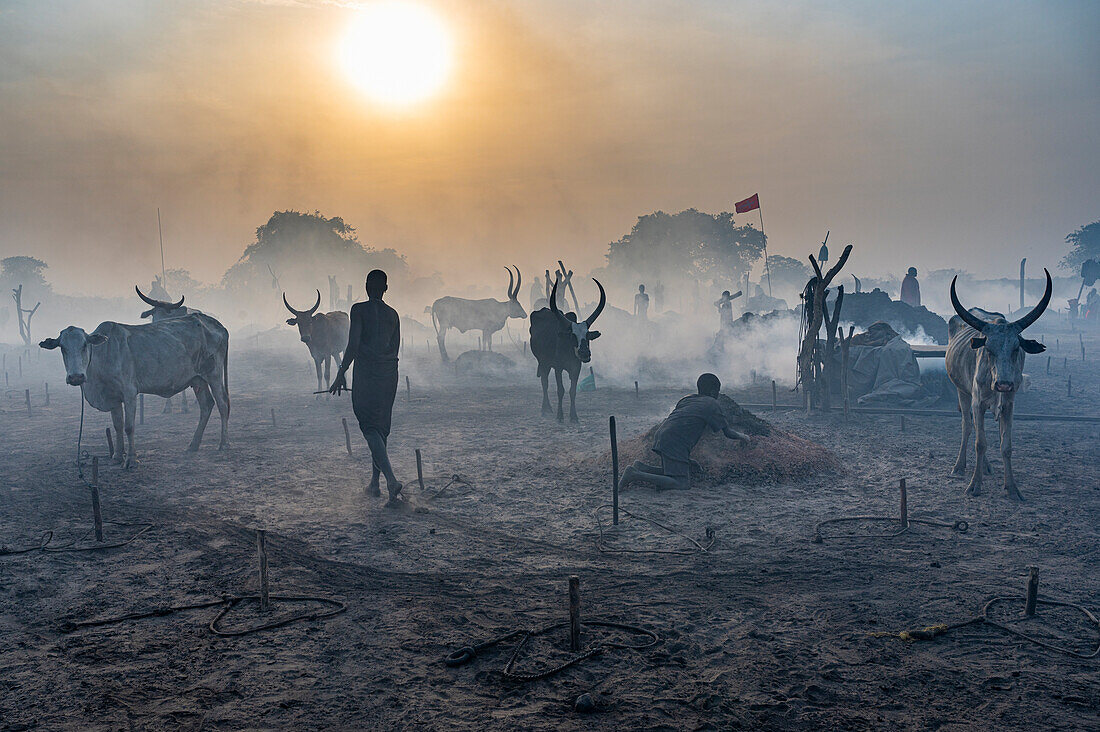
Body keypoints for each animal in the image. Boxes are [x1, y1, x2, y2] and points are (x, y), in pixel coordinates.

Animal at [41, 310, 232, 464]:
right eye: (62, 347)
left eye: (84, 345)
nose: (76, 376)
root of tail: (218, 325)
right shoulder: (113, 398)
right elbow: (118, 425)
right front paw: (117, 456)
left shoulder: (129, 393)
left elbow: (129, 426)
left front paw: (132, 459)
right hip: (197, 380)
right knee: (206, 405)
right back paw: (193, 444)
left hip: (214, 375)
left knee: (222, 405)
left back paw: (224, 444)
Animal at [528, 275, 607, 422]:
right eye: (572, 336)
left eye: (587, 335)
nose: (584, 353)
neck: (569, 351)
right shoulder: (558, 367)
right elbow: (561, 390)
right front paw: (560, 416)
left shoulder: (576, 368)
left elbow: (572, 391)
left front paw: (574, 416)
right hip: (543, 362)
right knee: (544, 382)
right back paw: (546, 408)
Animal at [941, 270, 1051, 499]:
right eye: (988, 349)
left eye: (1016, 348)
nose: (1004, 385)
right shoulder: (977, 402)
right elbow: (980, 443)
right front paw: (975, 485)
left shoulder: (1009, 405)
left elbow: (1006, 446)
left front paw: (1012, 488)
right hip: (962, 391)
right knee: (968, 426)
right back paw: (959, 466)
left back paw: (986, 467)